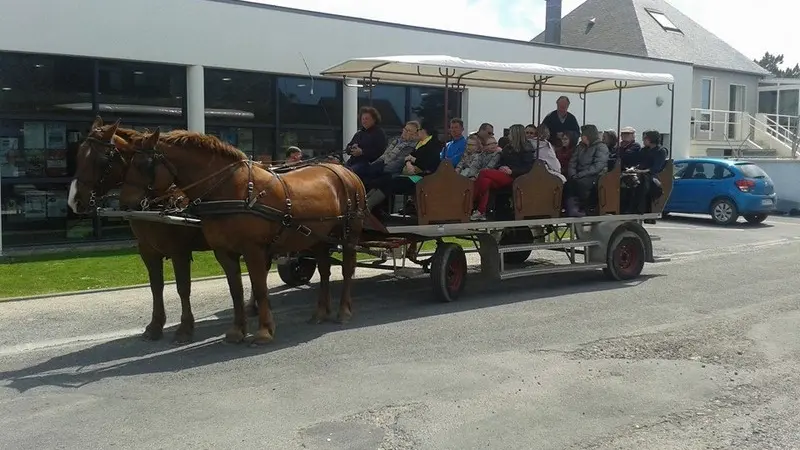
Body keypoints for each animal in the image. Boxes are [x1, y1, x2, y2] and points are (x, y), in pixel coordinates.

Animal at [69, 118, 256, 342]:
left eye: (102, 160)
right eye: (79, 154)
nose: (74, 201)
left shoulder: (179, 251)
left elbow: (183, 287)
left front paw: (185, 327)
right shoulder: (147, 250)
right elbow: (156, 286)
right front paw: (155, 325)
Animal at [116, 126, 366, 344]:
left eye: (143, 164)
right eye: (125, 162)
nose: (125, 204)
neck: (230, 190)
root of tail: (346, 171)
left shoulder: (252, 250)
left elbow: (259, 287)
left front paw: (264, 331)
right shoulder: (224, 252)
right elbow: (236, 290)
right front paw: (237, 331)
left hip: (349, 235)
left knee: (347, 270)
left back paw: (344, 311)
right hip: (318, 237)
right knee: (324, 271)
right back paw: (321, 312)